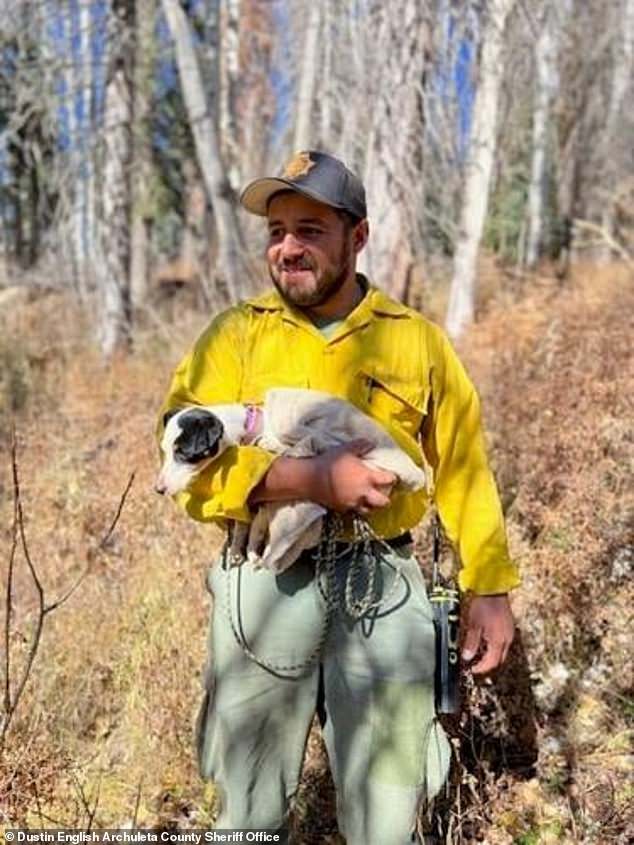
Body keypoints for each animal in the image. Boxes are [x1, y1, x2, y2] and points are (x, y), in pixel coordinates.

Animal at [156, 390, 428, 572]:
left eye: (183, 453)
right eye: (165, 450)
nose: (158, 489)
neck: (252, 426)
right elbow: (247, 526)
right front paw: (240, 551)